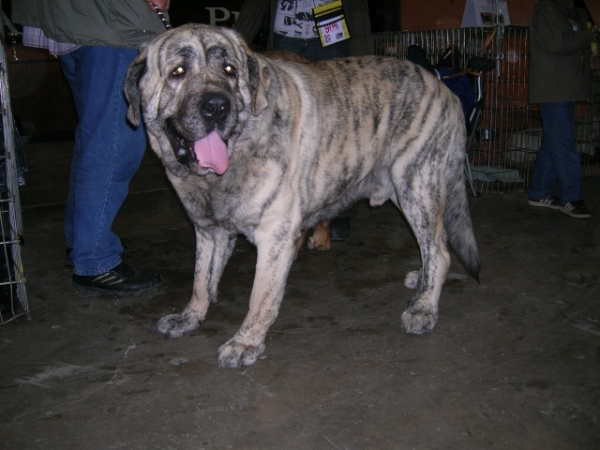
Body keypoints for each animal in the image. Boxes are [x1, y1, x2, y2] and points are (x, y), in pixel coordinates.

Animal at [124, 24, 480, 368]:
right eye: (178, 71)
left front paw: (245, 342)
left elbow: (261, 295)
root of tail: (444, 89)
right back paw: (422, 281)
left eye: (229, 70)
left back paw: (424, 307)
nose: (216, 106)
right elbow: (200, 279)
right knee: (433, 246)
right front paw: (190, 317)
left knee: (439, 251)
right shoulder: (208, 230)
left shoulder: (275, 235)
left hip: (416, 184)